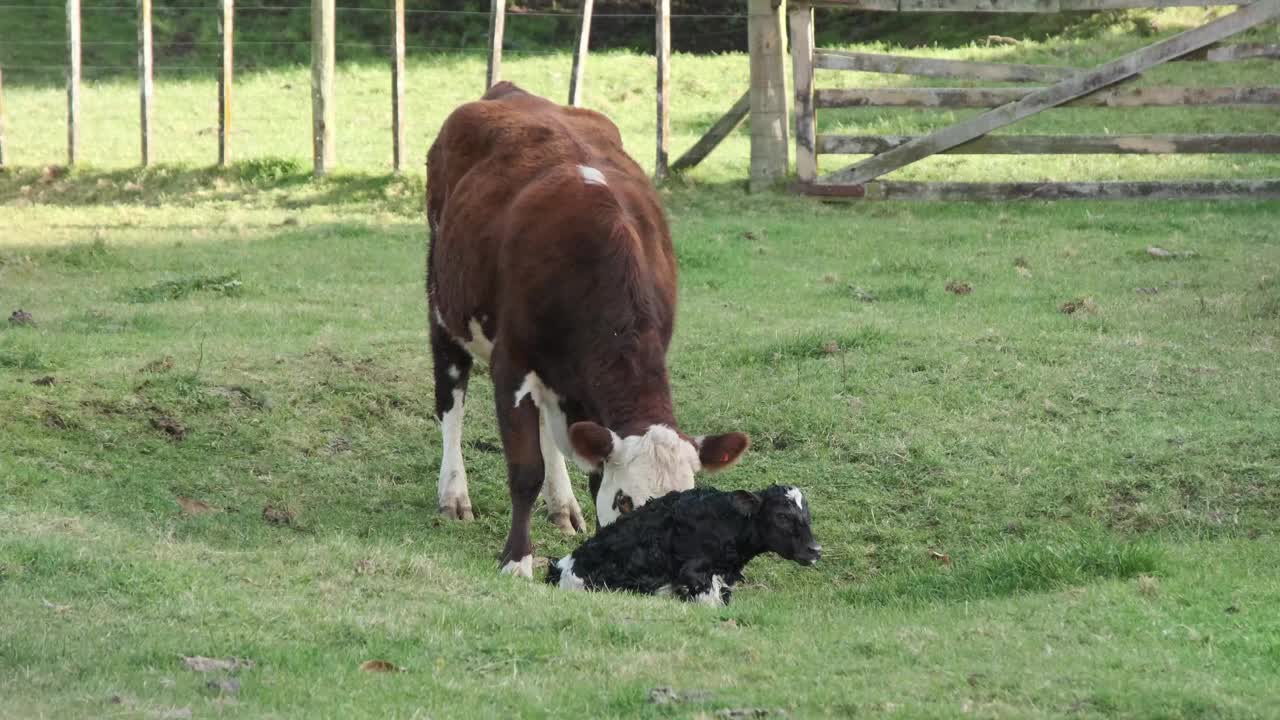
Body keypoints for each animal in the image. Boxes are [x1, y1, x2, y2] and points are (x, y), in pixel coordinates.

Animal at [427, 82, 747, 576]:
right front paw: (517, 560)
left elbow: (588, 467)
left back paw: (563, 507)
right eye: (627, 502)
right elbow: (525, 471)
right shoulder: (511, 364)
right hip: (444, 308)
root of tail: (509, 91)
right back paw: (454, 495)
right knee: (451, 404)